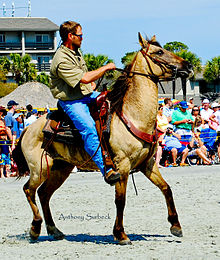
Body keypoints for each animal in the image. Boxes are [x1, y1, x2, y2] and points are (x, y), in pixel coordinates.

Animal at [13, 33, 192, 245]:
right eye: (158, 52)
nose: (188, 65)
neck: (132, 115)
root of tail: (28, 129)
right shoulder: (122, 166)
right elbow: (120, 200)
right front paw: (120, 234)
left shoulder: (148, 164)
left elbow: (166, 188)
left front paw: (176, 226)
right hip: (39, 168)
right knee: (28, 190)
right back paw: (35, 228)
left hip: (61, 168)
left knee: (43, 193)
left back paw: (54, 230)